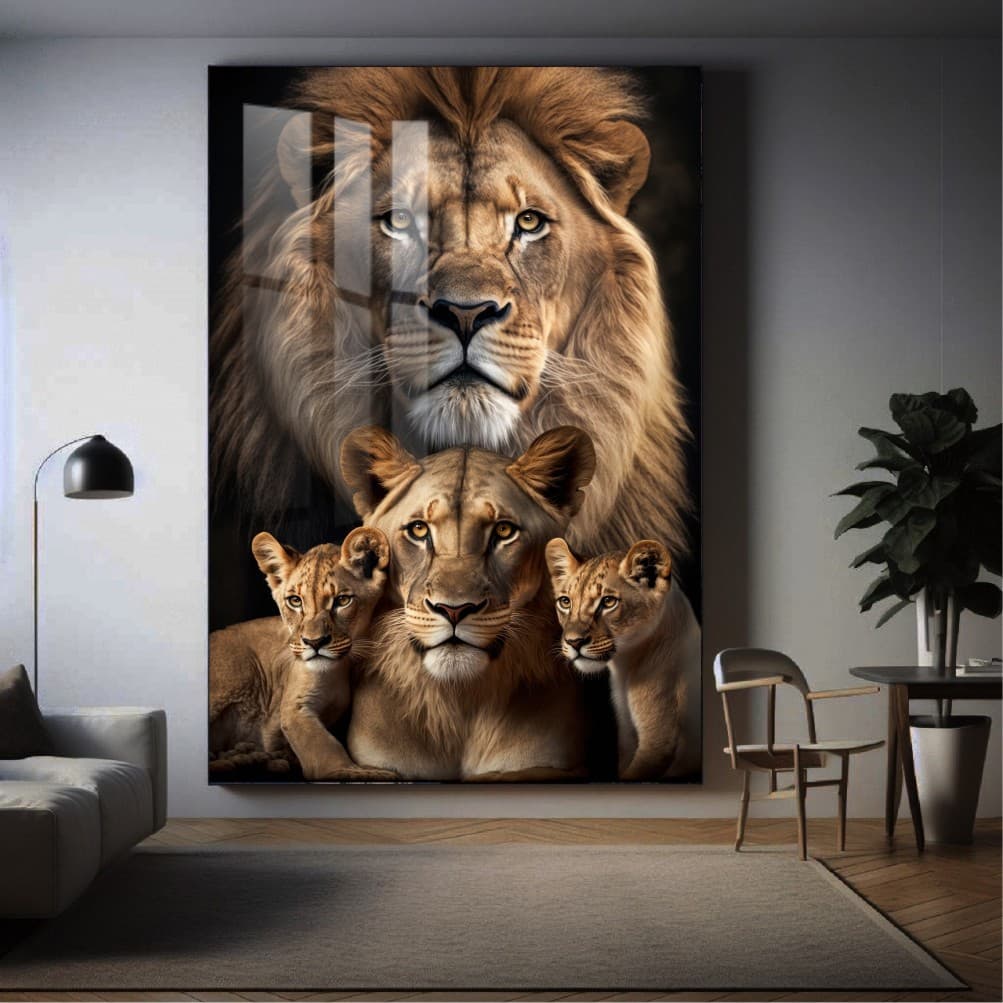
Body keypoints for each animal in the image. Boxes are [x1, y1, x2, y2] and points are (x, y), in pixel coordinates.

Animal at [209, 527, 397, 781]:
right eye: (295, 601)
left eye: (342, 600)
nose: (314, 642)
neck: (339, 670)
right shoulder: (295, 708)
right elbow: (322, 744)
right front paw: (350, 771)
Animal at [545, 538, 701, 781]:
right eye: (565, 602)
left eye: (608, 602)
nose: (574, 642)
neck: (626, 668)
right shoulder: (628, 737)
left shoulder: (659, 743)